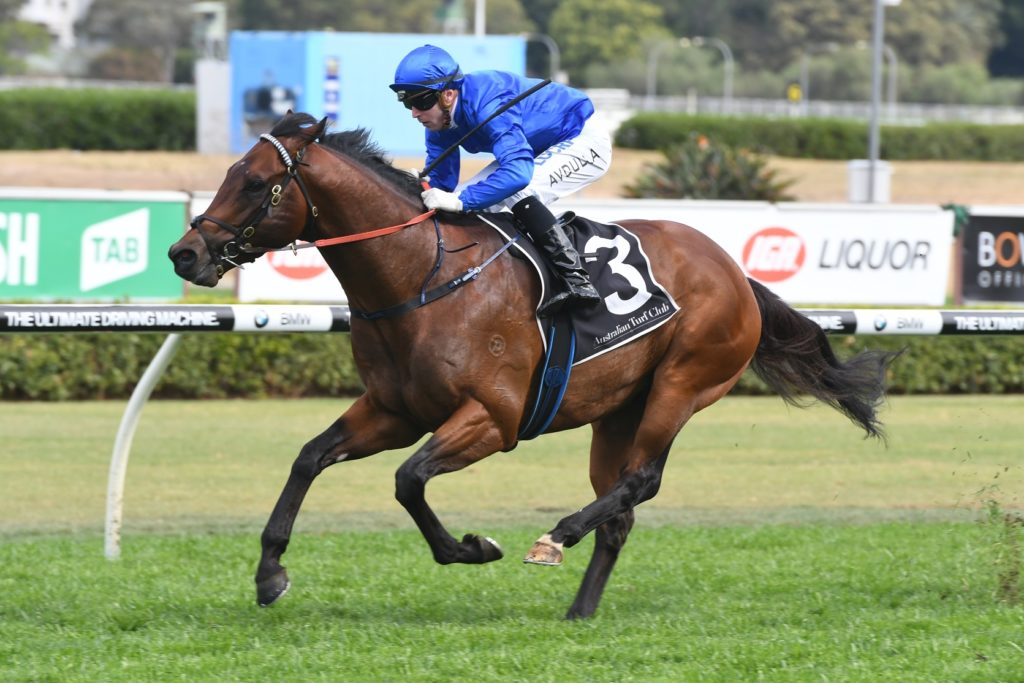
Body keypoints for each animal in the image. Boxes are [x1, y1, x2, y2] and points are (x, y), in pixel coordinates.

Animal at [168, 111, 897, 620]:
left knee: (642, 481)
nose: (184, 253)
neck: (422, 277)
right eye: (229, 174)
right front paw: (270, 572)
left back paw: (557, 535)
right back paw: (579, 610)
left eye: (255, 183)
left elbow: (408, 480)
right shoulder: (394, 409)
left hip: (683, 383)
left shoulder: (493, 418)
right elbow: (310, 457)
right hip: (618, 410)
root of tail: (735, 271)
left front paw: (471, 547)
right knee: (621, 506)